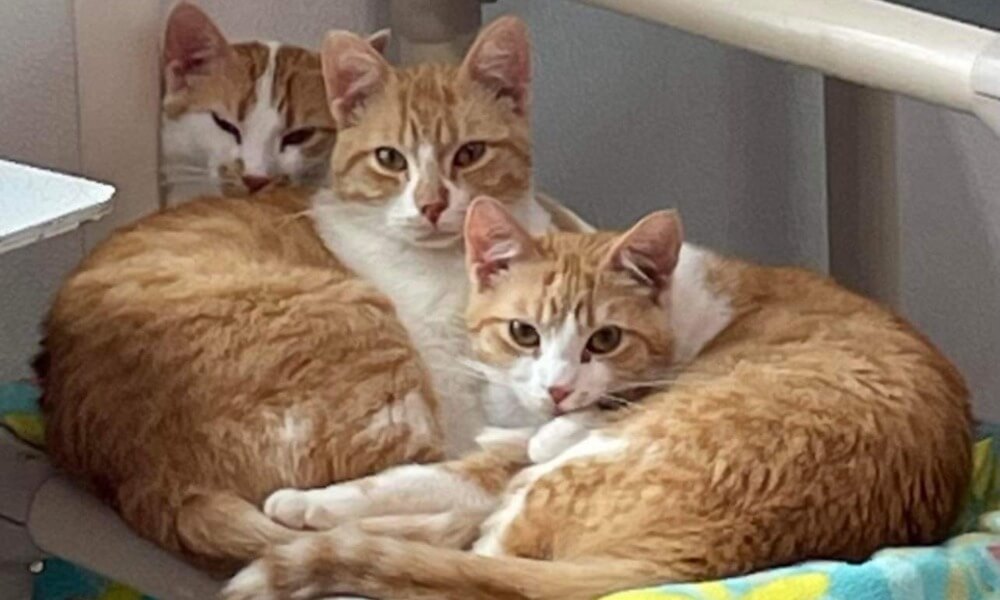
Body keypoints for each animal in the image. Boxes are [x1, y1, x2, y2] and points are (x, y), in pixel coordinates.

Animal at [230, 198, 972, 600]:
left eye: (605, 339)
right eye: (523, 332)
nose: (558, 388)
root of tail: (698, 559)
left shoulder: (546, 444)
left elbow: (422, 478)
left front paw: (308, 504)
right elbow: (425, 479)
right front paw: (307, 505)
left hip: (575, 476)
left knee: (481, 562)